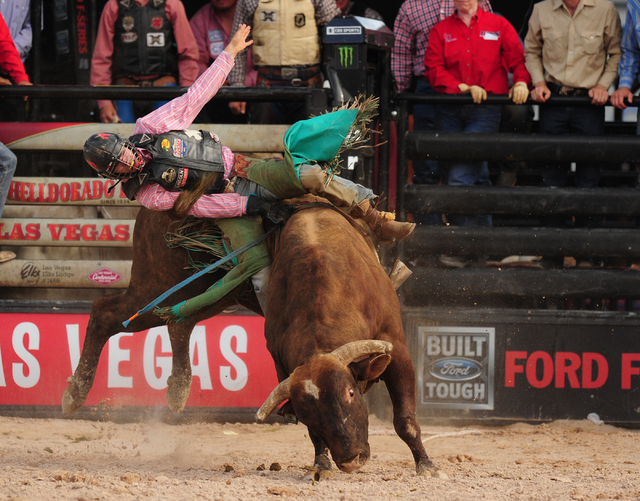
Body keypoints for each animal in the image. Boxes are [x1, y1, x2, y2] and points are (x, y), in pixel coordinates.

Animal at [255, 206, 440, 476]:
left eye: (350, 393)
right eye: (306, 413)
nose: (351, 460)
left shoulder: (397, 348)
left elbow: (405, 421)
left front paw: (427, 466)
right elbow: (314, 436)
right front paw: (321, 464)